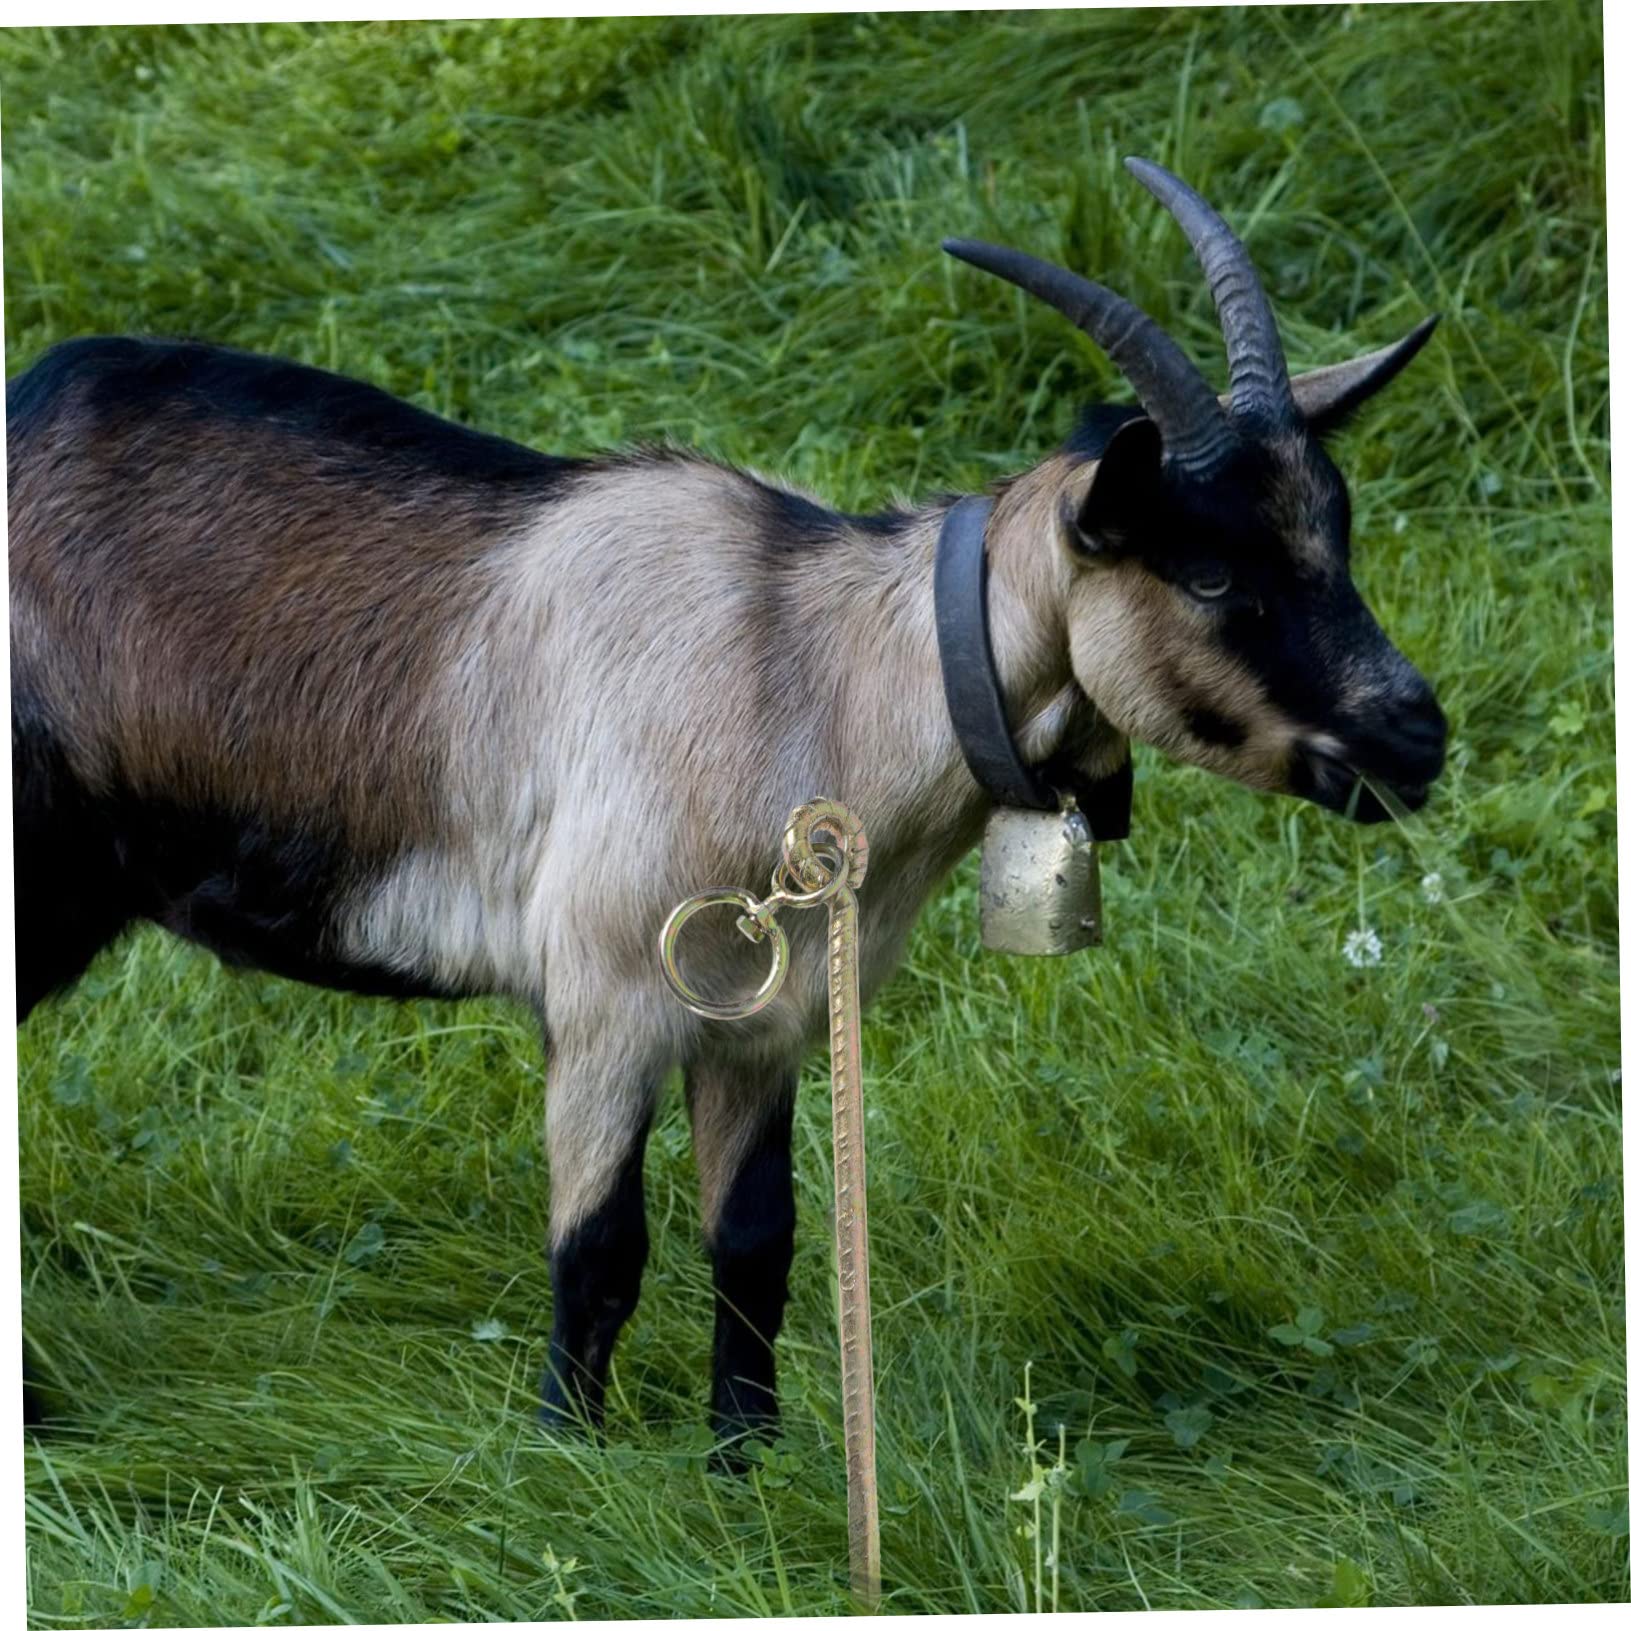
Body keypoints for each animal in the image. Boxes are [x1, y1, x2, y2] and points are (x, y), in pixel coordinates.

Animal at [9, 158, 1446, 1442]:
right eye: (1205, 572)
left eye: (1334, 530)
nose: (1413, 736)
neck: (802, 667)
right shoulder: (602, 994)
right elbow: (599, 1249)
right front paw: (565, 1458)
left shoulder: (767, 1015)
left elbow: (755, 1241)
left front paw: (743, 1458)